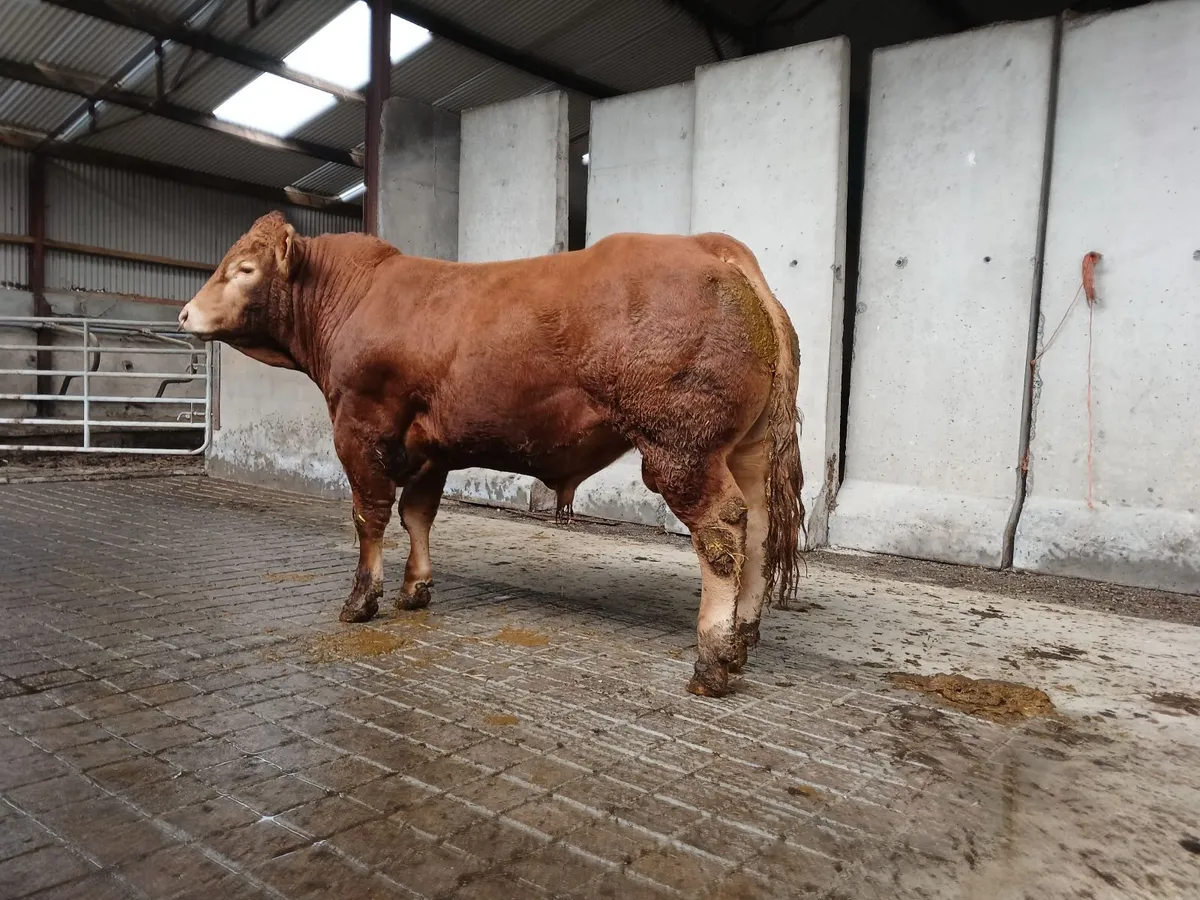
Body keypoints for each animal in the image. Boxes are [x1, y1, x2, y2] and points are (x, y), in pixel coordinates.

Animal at [179, 212, 805, 697]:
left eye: (244, 269)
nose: (184, 313)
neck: (356, 297)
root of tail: (709, 245)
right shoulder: (430, 449)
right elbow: (417, 515)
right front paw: (415, 589)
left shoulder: (359, 427)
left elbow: (370, 516)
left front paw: (361, 600)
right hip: (746, 449)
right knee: (758, 528)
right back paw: (743, 638)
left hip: (681, 448)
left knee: (722, 531)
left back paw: (713, 660)